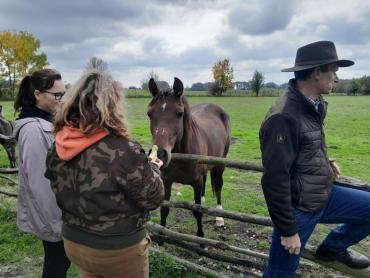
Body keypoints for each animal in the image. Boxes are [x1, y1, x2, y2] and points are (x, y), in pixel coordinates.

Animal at [147, 77, 231, 238]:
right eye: (149, 113)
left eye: (180, 113)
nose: (160, 154)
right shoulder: (167, 182)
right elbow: (164, 210)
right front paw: (161, 238)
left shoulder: (196, 183)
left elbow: (197, 212)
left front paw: (201, 237)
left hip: (220, 163)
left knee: (218, 185)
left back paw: (220, 218)